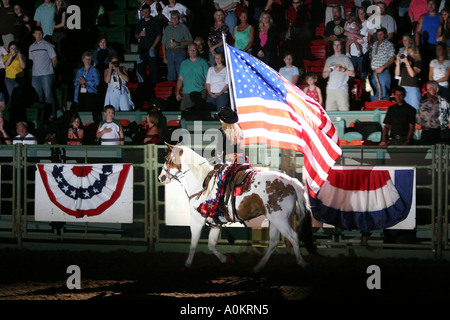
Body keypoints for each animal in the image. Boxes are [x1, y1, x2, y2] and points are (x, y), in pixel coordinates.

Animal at [159, 144, 316, 274]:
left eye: (166, 158)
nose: (161, 177)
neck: (202, 183)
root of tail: (290, 181)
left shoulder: (197, 220)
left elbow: (193, 244)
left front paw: (186, 265)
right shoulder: (216, 223)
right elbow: (211, 244)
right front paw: (226, 259)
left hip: (280, 219)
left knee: (293, 237)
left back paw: (303, 264)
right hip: (274, 220)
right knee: (273, 242)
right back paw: (258, 267)